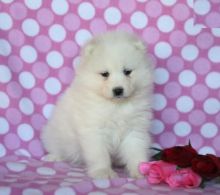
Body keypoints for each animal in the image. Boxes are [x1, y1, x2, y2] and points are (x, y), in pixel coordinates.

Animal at [41, 30, 155, 178]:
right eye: (105, 74)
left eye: (127, 72)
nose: (118, 90)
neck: (116, 106)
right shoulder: (94, 130)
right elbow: (100, 155)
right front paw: (103, 172)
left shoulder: (135, 129)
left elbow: (136, 151)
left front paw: (140, 170)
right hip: (53, 135)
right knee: (56, 148)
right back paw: (53, 157)